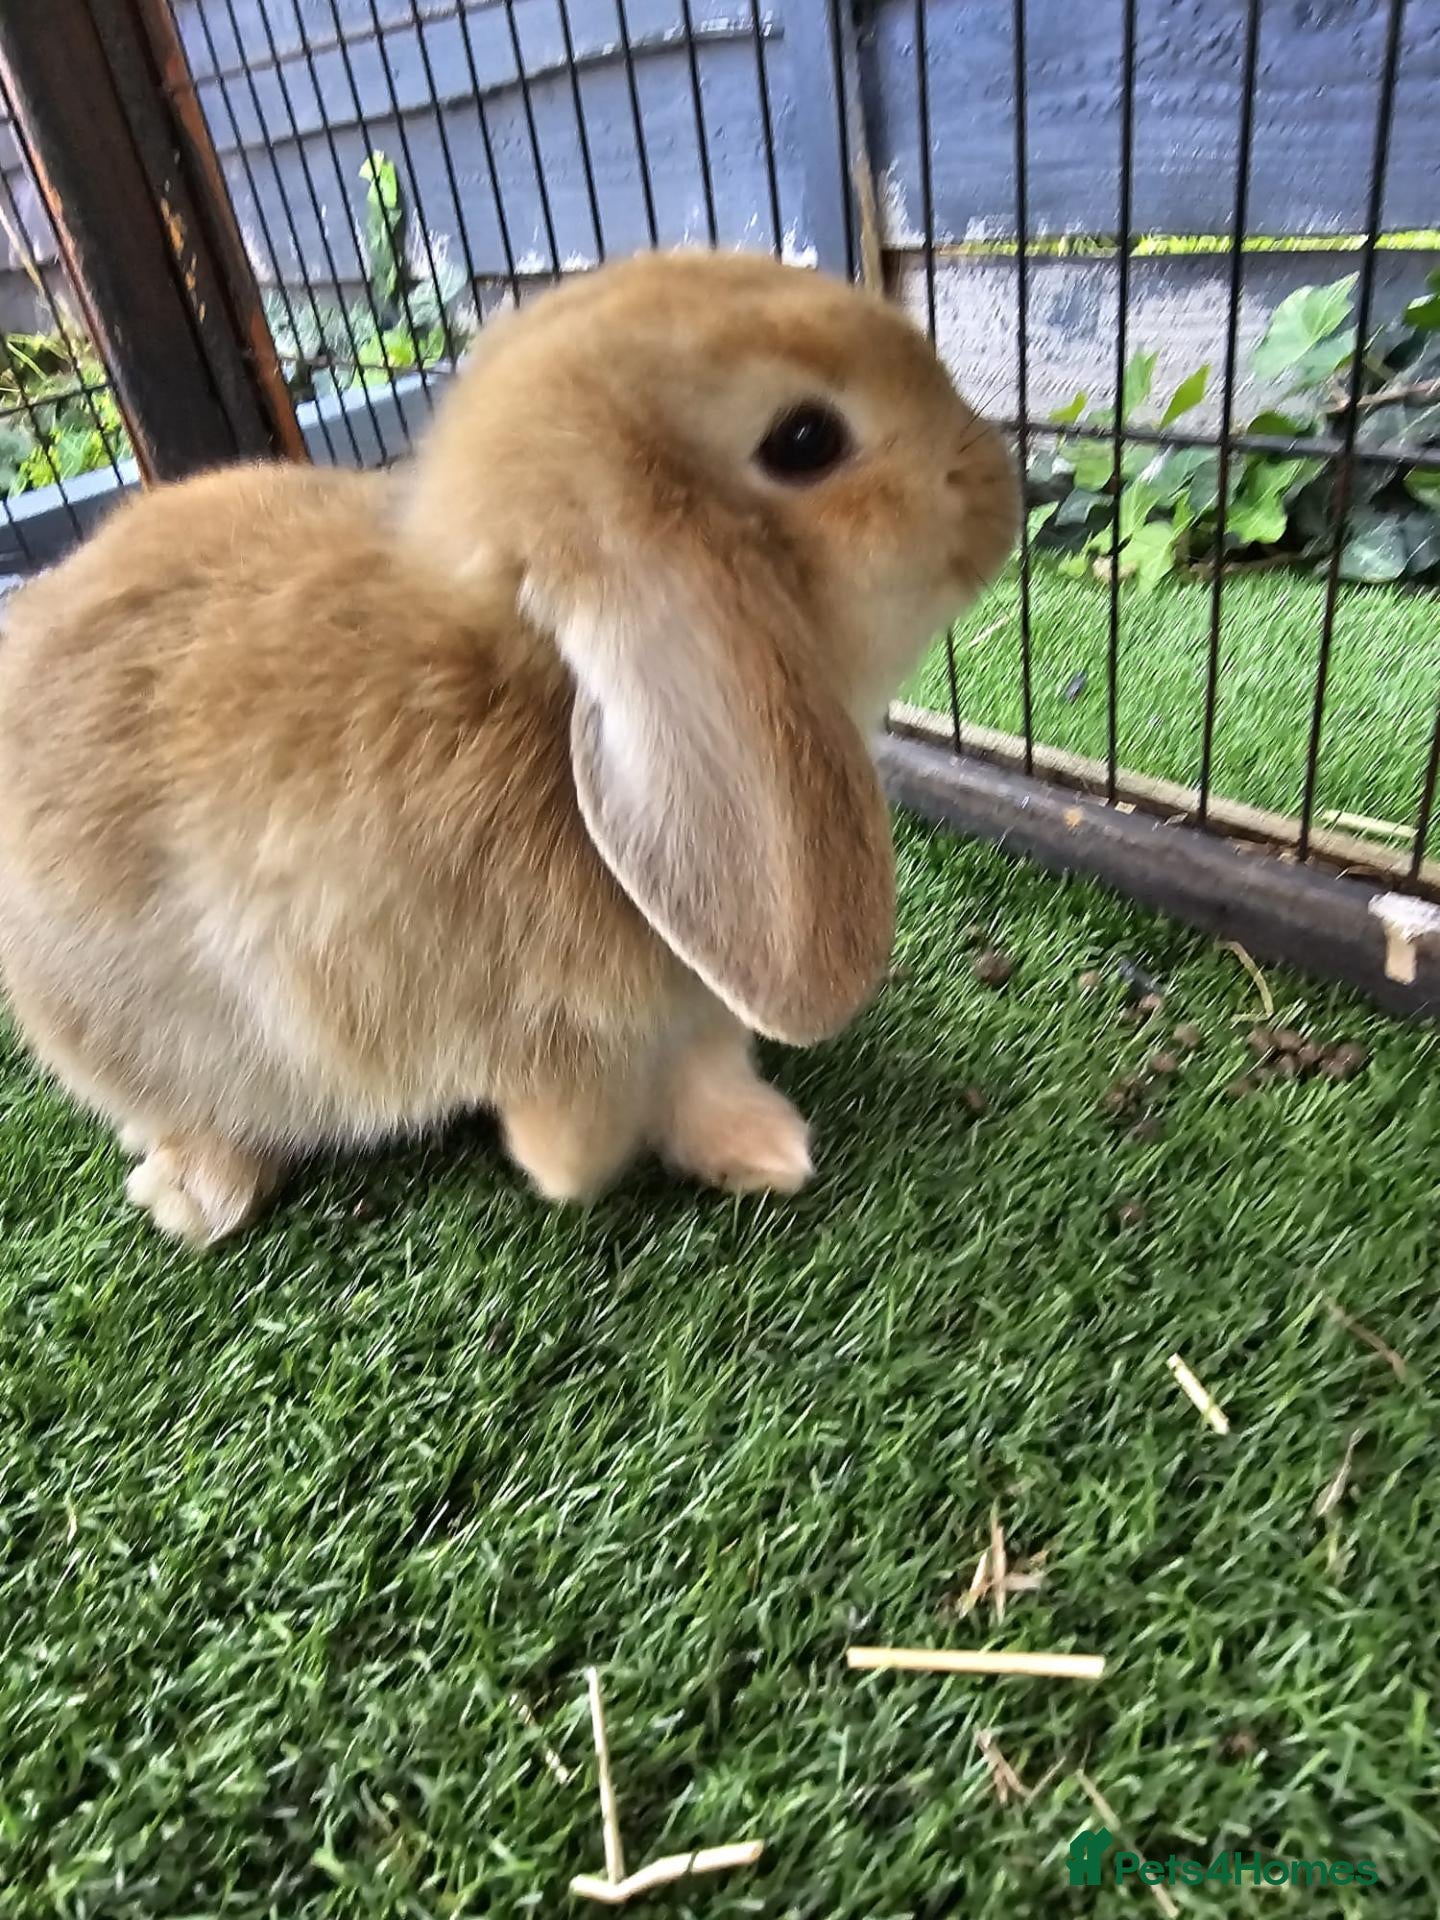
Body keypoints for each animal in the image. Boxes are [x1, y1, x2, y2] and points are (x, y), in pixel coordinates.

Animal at [0, 248, 1016, 1244]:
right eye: (807, 440)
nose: (996, 478)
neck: (538, 692)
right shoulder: (542, 1031)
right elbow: (588, 1122)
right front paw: (568, 1170)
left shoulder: (690, 1010)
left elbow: (703, 1081)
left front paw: (765, 1152)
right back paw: (194, 1195)